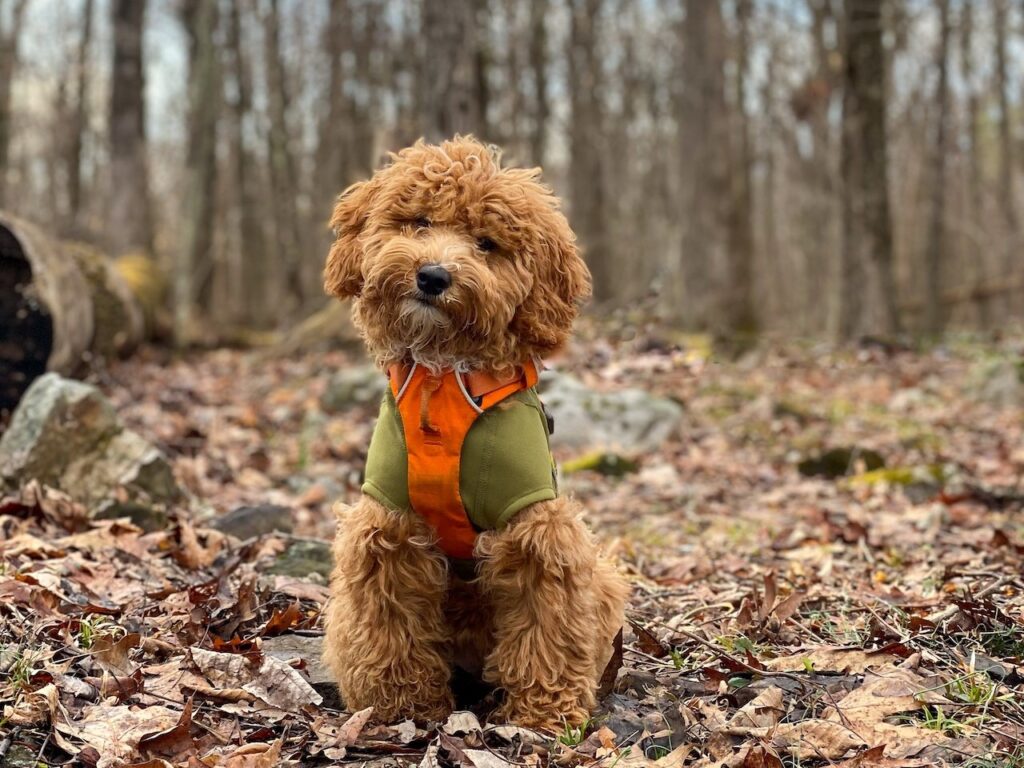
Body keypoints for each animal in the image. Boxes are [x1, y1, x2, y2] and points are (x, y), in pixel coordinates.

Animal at [321, 135, 622, 729]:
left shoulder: (536, 531)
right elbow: (389, 622)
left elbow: (547, 622)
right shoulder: (388, 527)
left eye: (486, 244)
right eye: (418, 221)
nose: (433, 276)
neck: (444, 379)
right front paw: (402, 705)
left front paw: (542, 713)